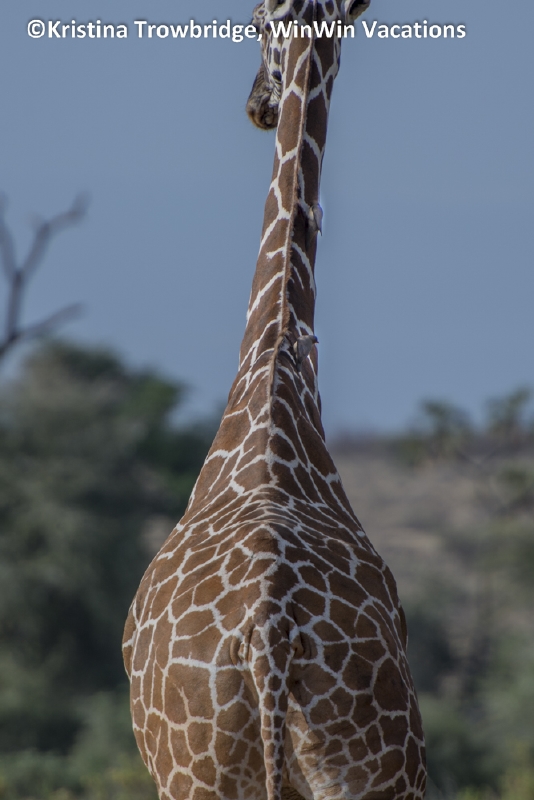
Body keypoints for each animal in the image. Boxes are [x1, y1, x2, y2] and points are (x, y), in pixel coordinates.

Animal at [123, 1, 426, 799]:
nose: (258, 103)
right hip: (366, 776)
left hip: (201, 776)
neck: (276, 355)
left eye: (255, 21)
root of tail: (271, 634)